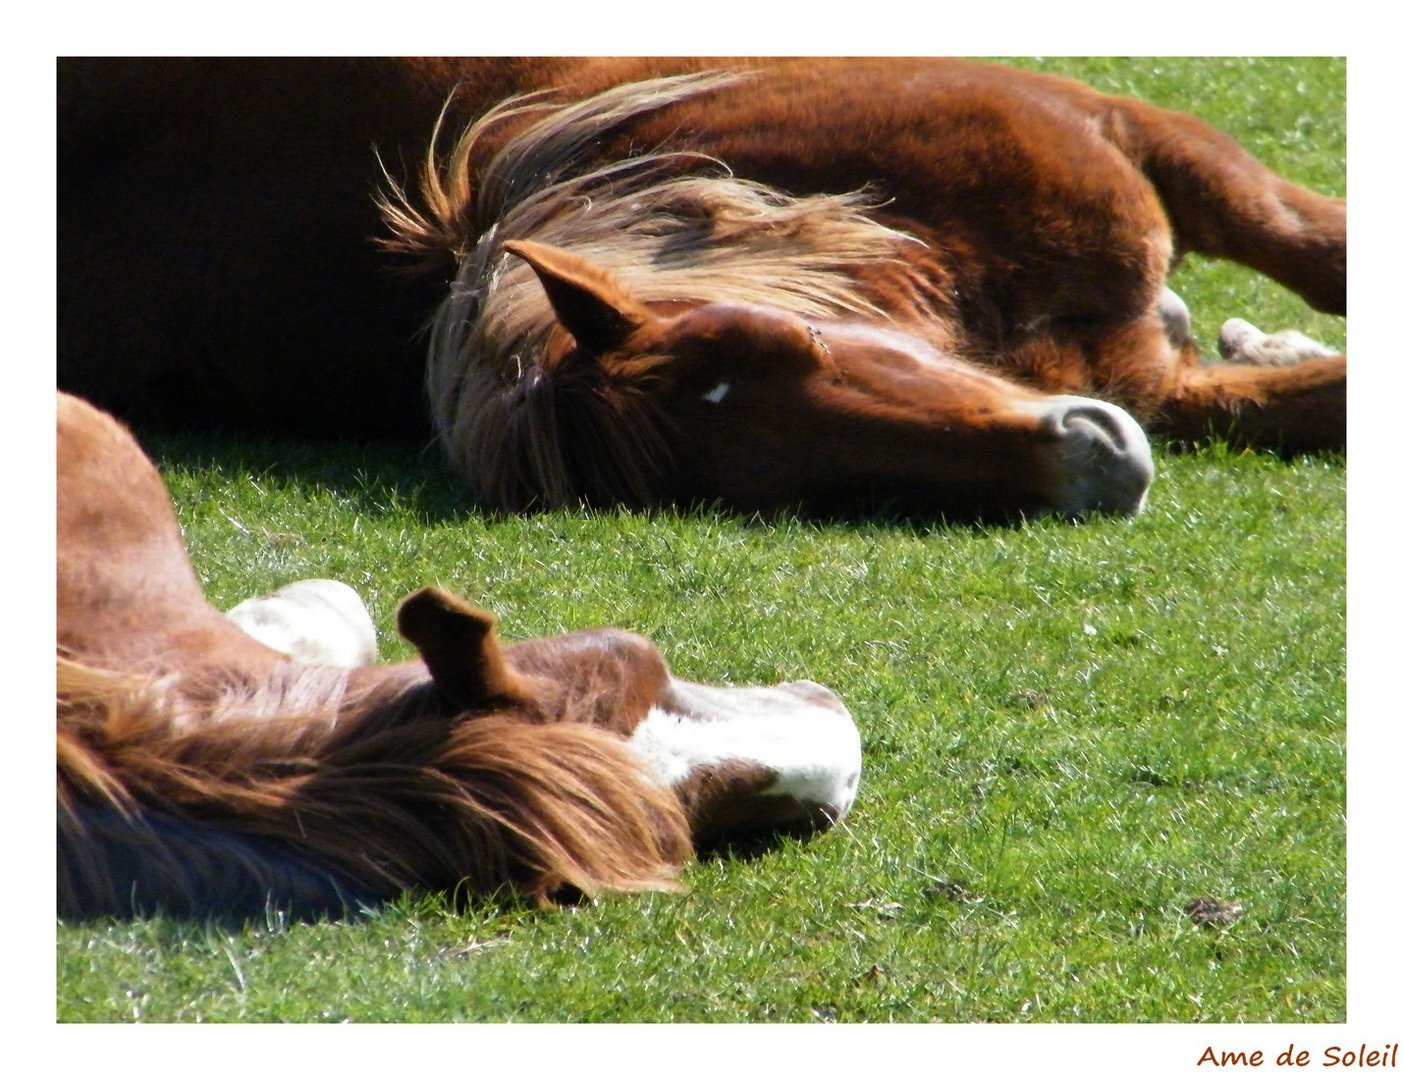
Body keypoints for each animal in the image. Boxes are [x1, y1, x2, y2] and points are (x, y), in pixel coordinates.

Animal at [60, 59, 1341, 521]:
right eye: (811, 488)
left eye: (794, 340)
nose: (1093, 463)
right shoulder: (1146, 382)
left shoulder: (1132, 134)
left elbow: (1306, 245)